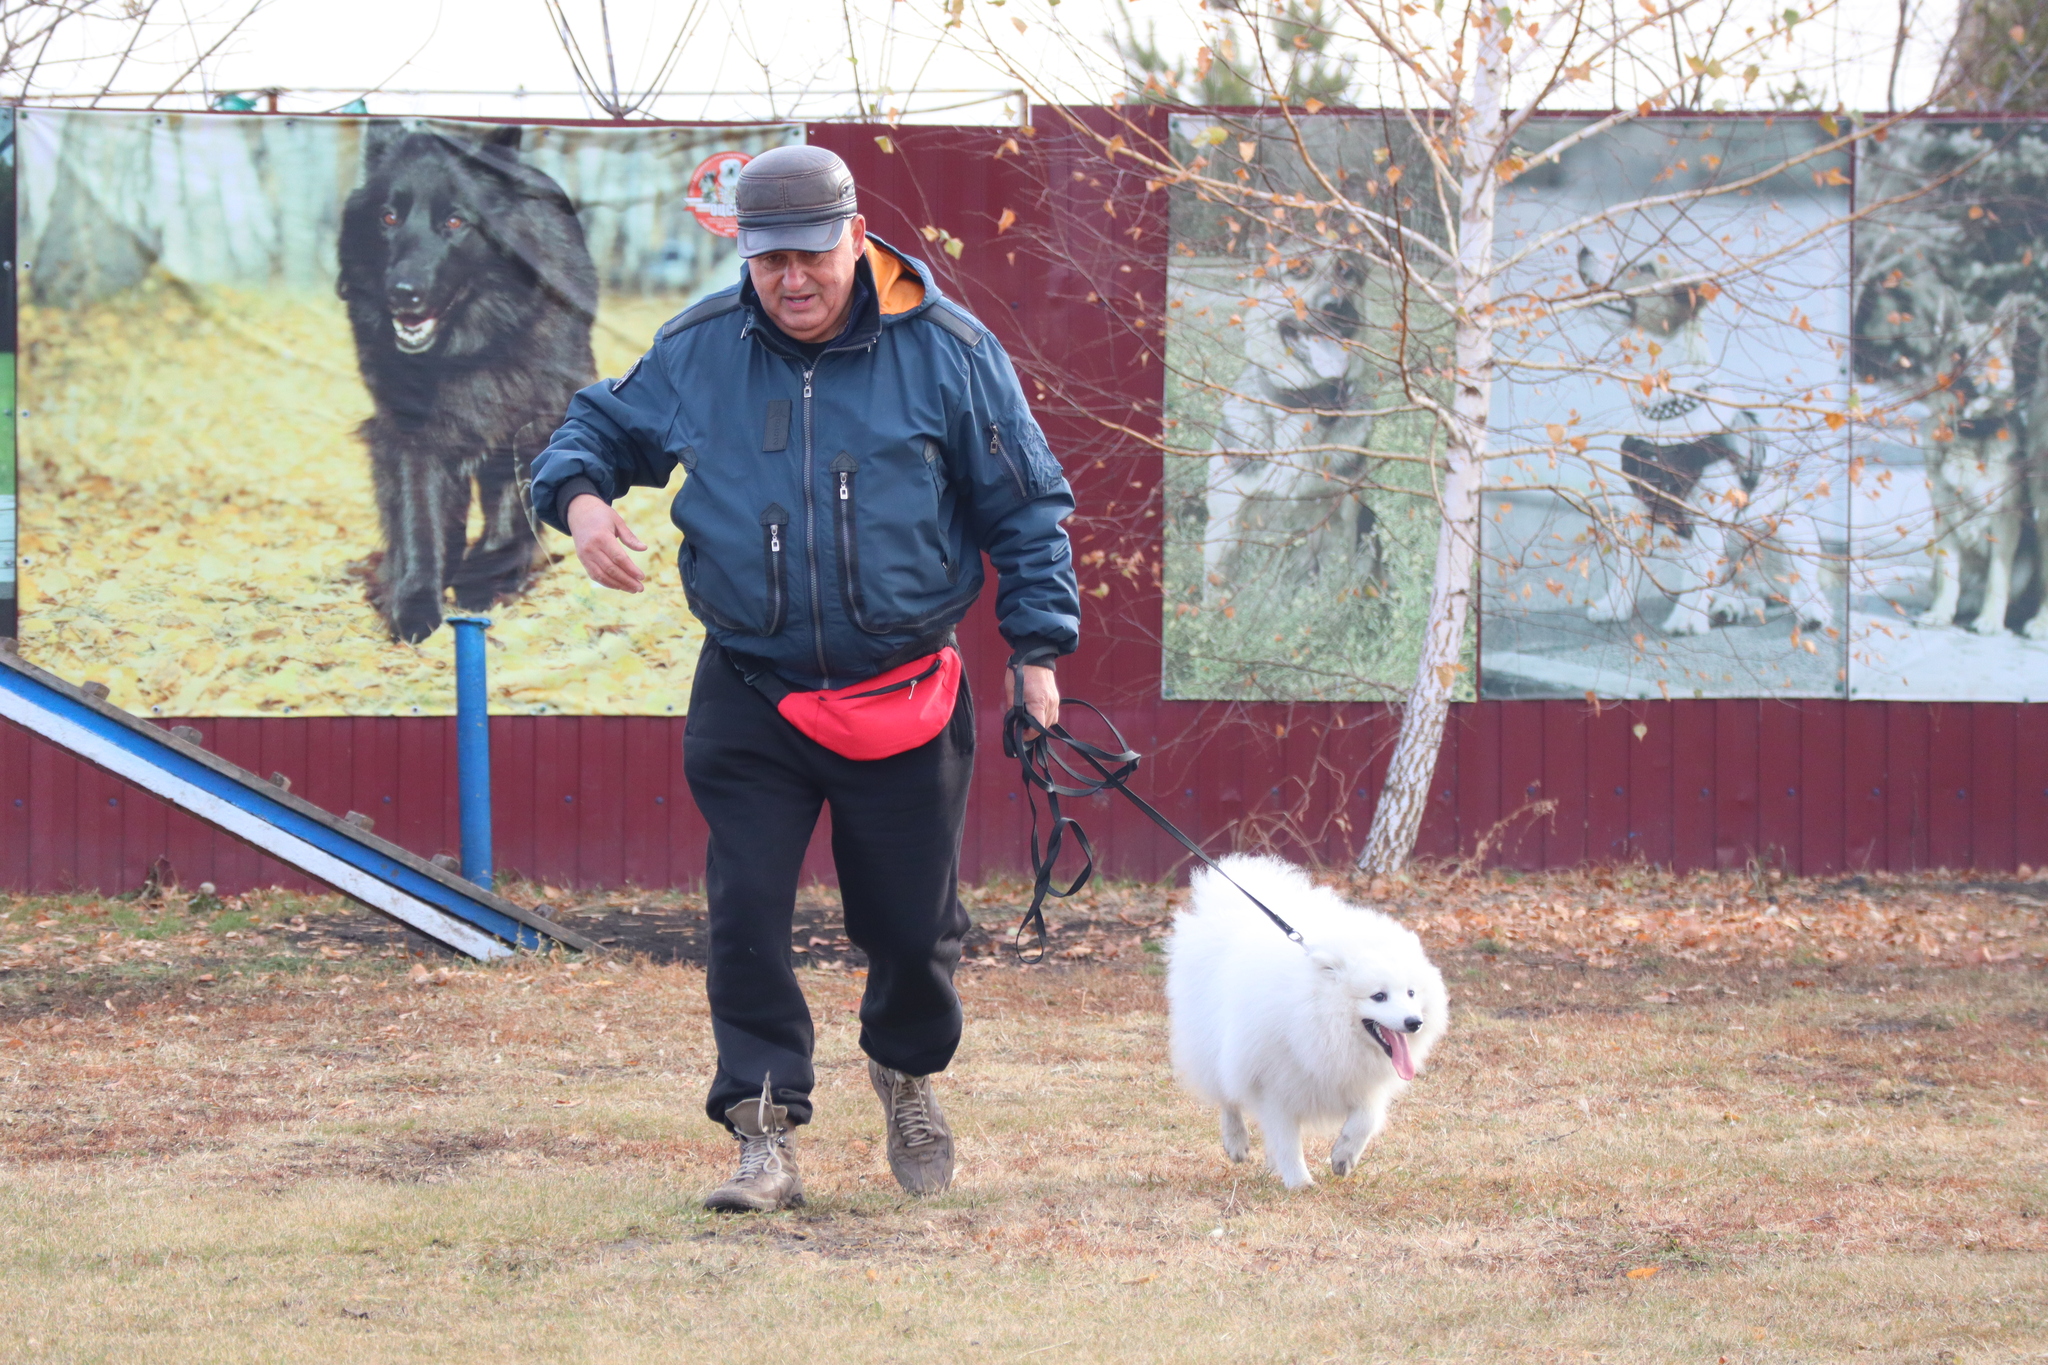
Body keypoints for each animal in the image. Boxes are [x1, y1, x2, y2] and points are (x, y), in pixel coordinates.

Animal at [1171, 859, 1441, 1186]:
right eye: (1379, 996)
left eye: (1411, 993)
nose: (1414, 1022)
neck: (1319, 1022)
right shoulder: (1275, 1084)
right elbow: (1287, 1138)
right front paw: (1300, 1182)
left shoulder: (1362, 1083)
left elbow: (1365, 1120)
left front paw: (1343, 1157)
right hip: (1215, 1046)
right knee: (1227, 1097)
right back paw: (1236, 1142)